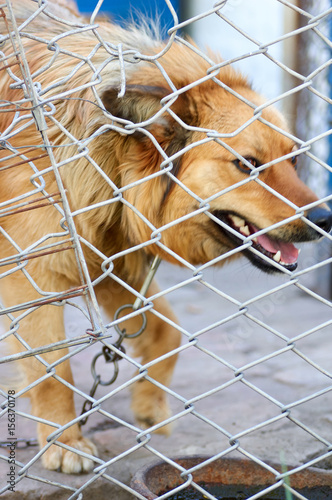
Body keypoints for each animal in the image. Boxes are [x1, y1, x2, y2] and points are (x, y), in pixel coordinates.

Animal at [0, 0, 332, 472]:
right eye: (247, 165)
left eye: (294, 159)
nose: (326, 219)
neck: (105, 158)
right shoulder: (35, 276)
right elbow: (54, 372)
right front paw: (66, 444)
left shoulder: (111, 260)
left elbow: (168, 332)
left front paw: (151, 407)